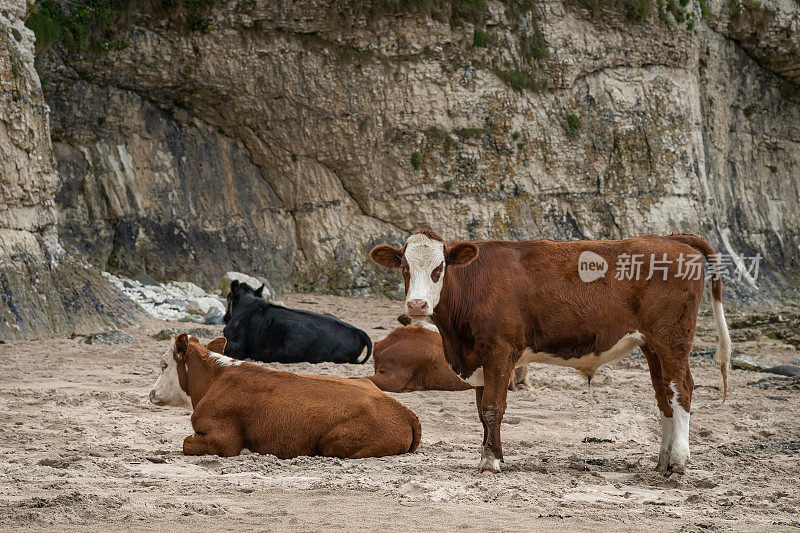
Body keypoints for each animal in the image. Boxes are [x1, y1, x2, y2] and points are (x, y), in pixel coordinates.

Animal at [152, 332, 424, 458]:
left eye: (164, 365)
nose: (152, 392)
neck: (214, 379)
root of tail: (404, 411)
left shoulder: (222, 439)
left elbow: (187, 443)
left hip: (334, 442)